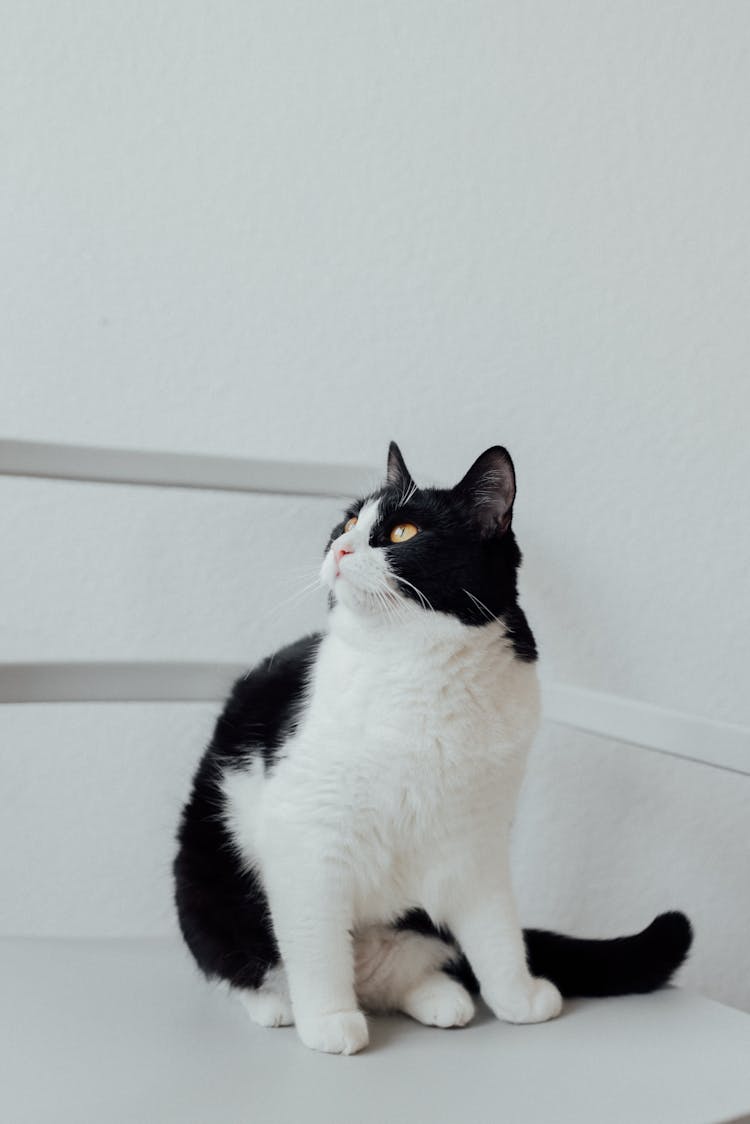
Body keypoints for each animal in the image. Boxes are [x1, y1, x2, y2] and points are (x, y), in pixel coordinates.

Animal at [174, 440, 692, 1052]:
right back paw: (279, 1005)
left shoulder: (479, 838)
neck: (420, 669)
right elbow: (316, 942)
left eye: (402, 532)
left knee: (397, 971)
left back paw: (441, 997)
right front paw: (327, 1020)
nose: (340, 548)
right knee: (249, 961)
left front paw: (517, 996)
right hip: (209, 877)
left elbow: (496, 927)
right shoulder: (309, 840)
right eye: (348, 522)